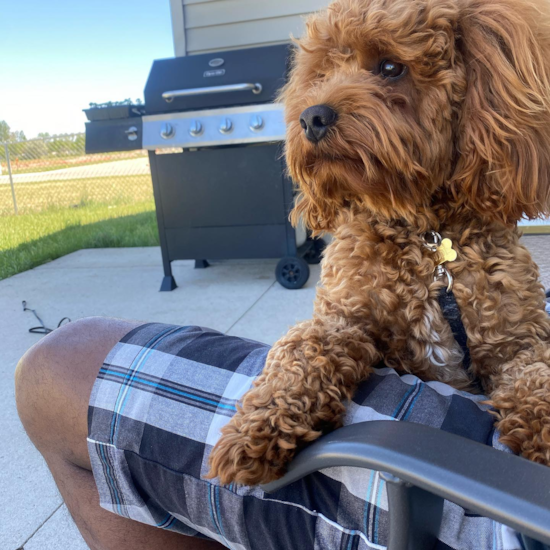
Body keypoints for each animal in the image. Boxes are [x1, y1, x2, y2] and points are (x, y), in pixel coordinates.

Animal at [208, 0, 550, 488]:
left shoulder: (518, 343)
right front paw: (257, 425)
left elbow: (535, 379)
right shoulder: (342, 319)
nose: (311, 117)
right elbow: (301, 351)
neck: (426, 239)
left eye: (390, 67)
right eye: (322, 74)